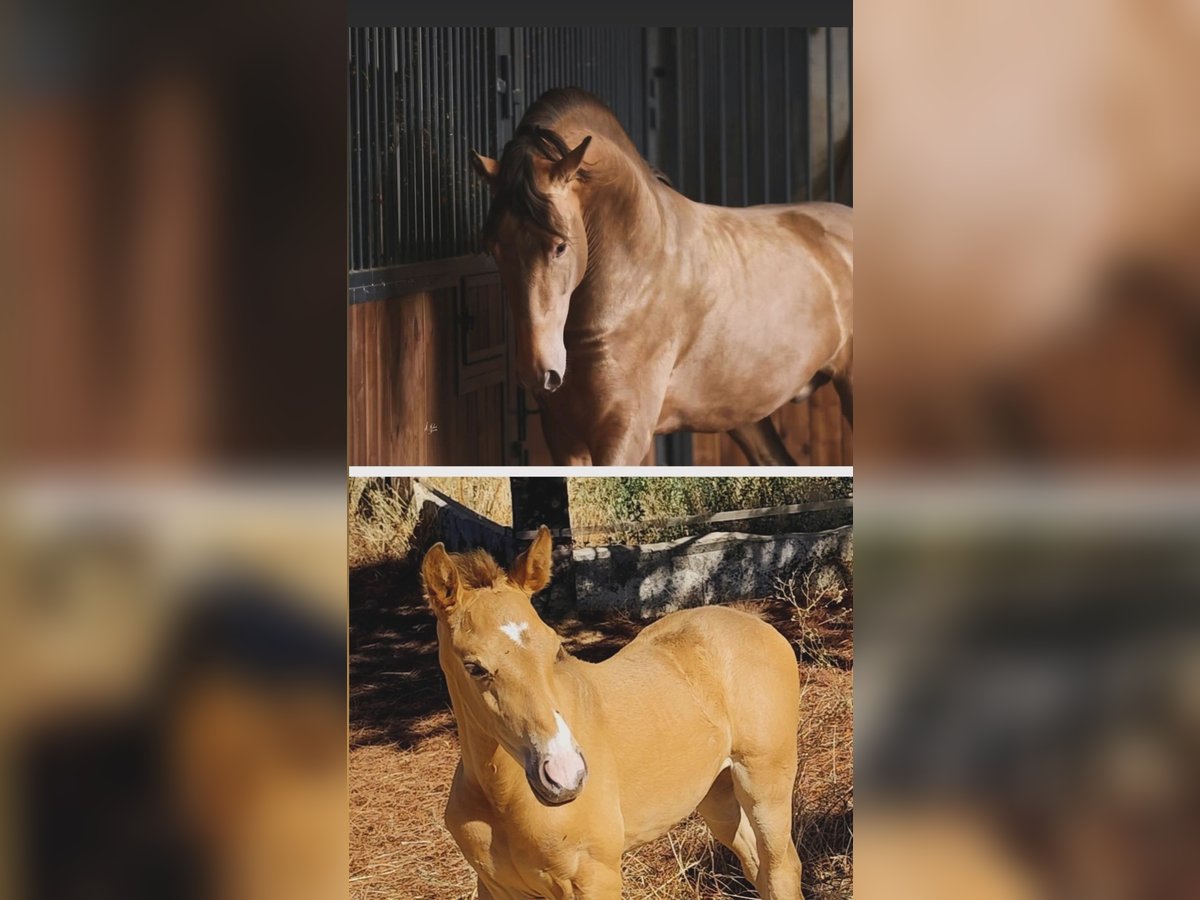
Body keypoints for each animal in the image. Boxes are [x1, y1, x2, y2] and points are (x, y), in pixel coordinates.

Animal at [421, 526, 804, 898]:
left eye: (555, 650)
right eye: (474, 667)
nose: (565, 775)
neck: (500, 795)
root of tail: (756, 622)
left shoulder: (594, 877)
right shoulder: (495, 886)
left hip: (765, 782)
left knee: (781, 869)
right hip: (716, 792)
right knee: (757, 867)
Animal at [469, 87, 853, 465]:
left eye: (561, 246)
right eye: (493, 247)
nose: (538, 372)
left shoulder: (624, 433)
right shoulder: (564, 438)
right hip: (746, 417)